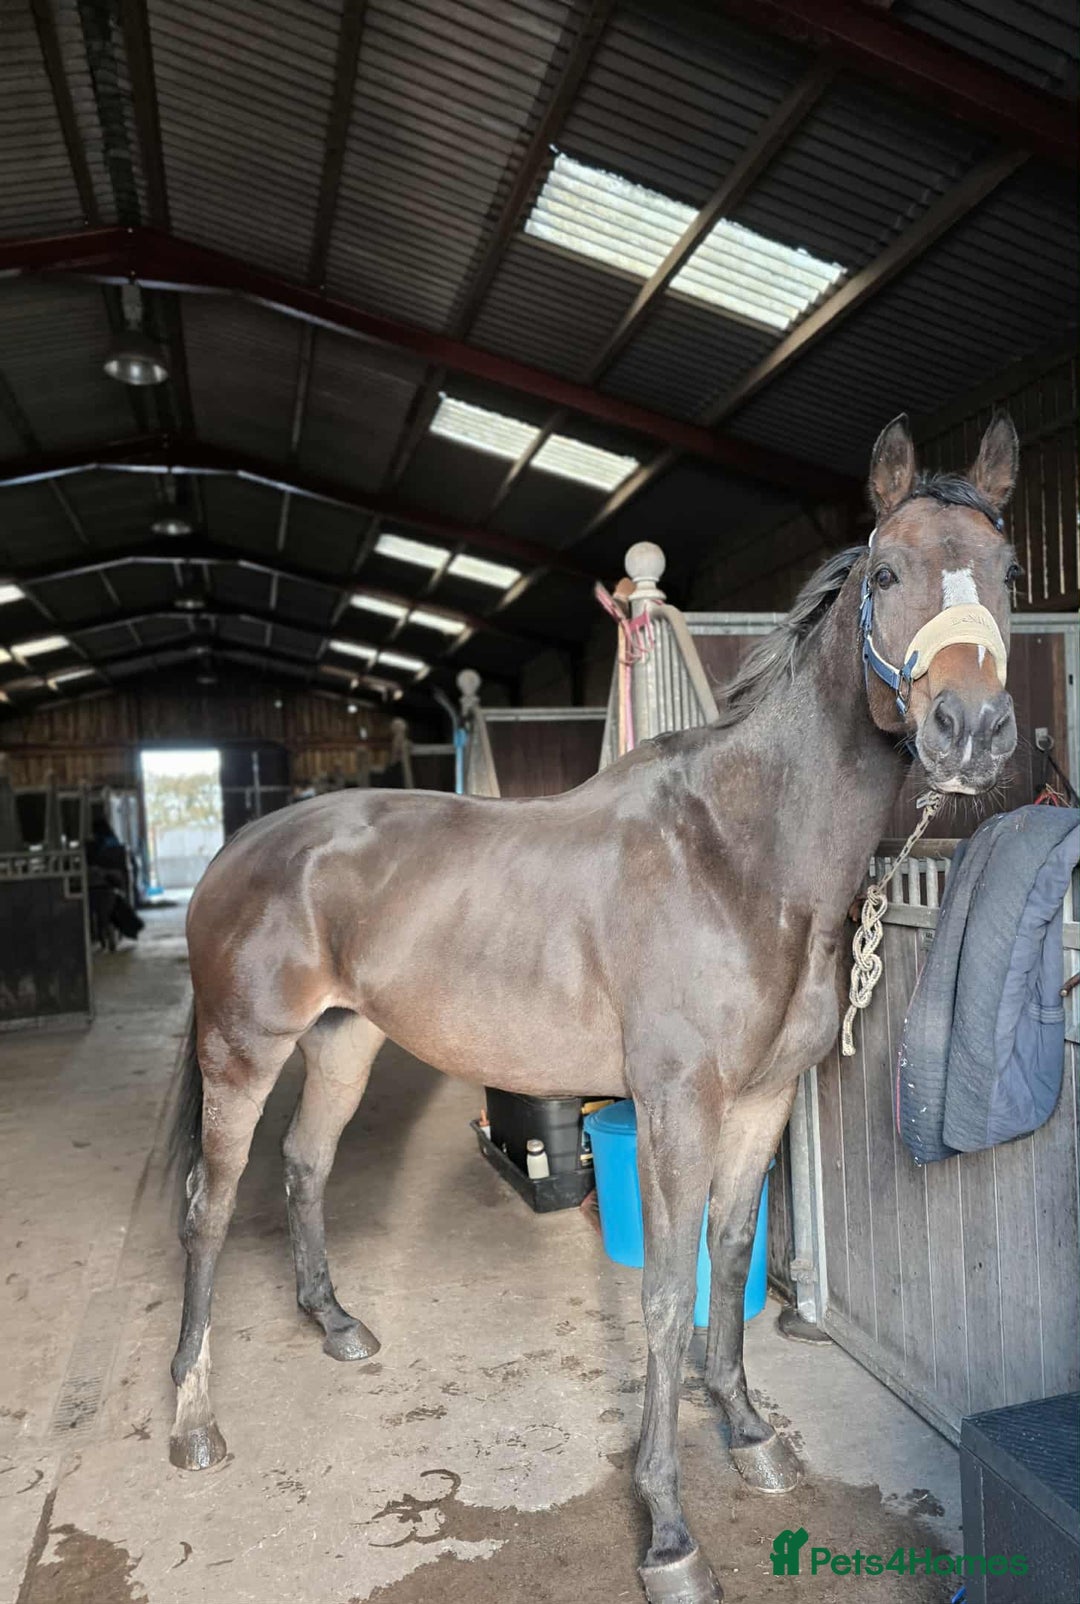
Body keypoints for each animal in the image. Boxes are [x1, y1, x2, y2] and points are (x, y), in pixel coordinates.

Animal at [167, 413, 1020, 1603]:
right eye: (888, 570)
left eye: (1007, 572)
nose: (971, 727)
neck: (741, 853)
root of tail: (241, 846)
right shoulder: (673, 1110)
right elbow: (663, 1290)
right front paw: (667, 1530)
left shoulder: (761, 1103)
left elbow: (728, 1254)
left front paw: (749, 1431)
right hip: (242, 1049)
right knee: (209, 1203)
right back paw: (194, 1420)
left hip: (345, 1041)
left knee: (303, 1164)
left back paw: (334, 1323)